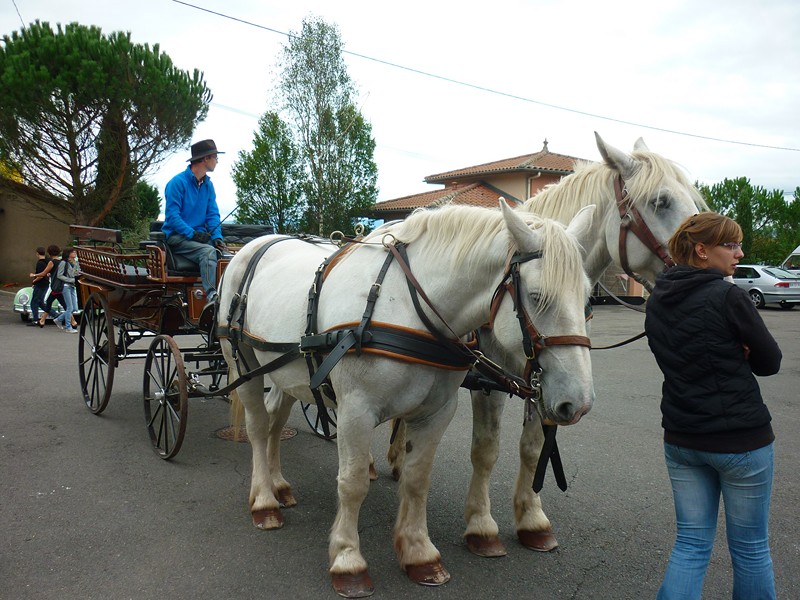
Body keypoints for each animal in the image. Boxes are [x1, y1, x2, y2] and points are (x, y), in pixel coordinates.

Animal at [219, 200, 592, 596]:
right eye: (537, 297)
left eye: (587, 298)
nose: (578, 402)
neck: (408, 309)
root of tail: (257, 244)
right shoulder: (355, 411)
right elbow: (351, 483)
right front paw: (348, 560)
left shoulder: (436, 413)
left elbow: (416, 479)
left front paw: (419, 553)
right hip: (242, 362)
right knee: (258, 428)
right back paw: (264, 501)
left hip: (287, 371)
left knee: (275, 421)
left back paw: (278, 485)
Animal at [388, 131, 708, 556]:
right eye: (661, 201)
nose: (715, 268)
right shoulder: (491, 384)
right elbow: (486, 450)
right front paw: (481, 525)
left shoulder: (551, 381)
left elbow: (534, 445)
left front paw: (531, 518)